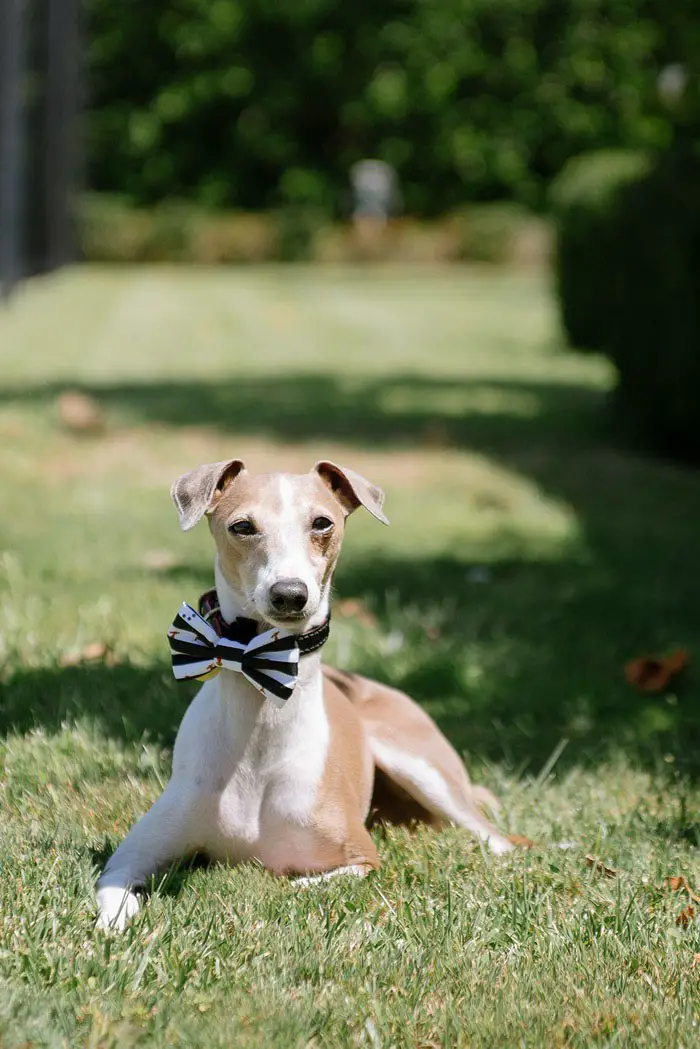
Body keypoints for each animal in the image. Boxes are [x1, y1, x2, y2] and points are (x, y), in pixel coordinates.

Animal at [96, 459, 512, 927]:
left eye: (321, 523)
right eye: (243, 526)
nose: (290, 594)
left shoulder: (361, 857)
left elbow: (304, 884)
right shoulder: (129, 858)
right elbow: (116, 895)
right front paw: (114, 928)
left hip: (422, 767)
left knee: (497, 836)